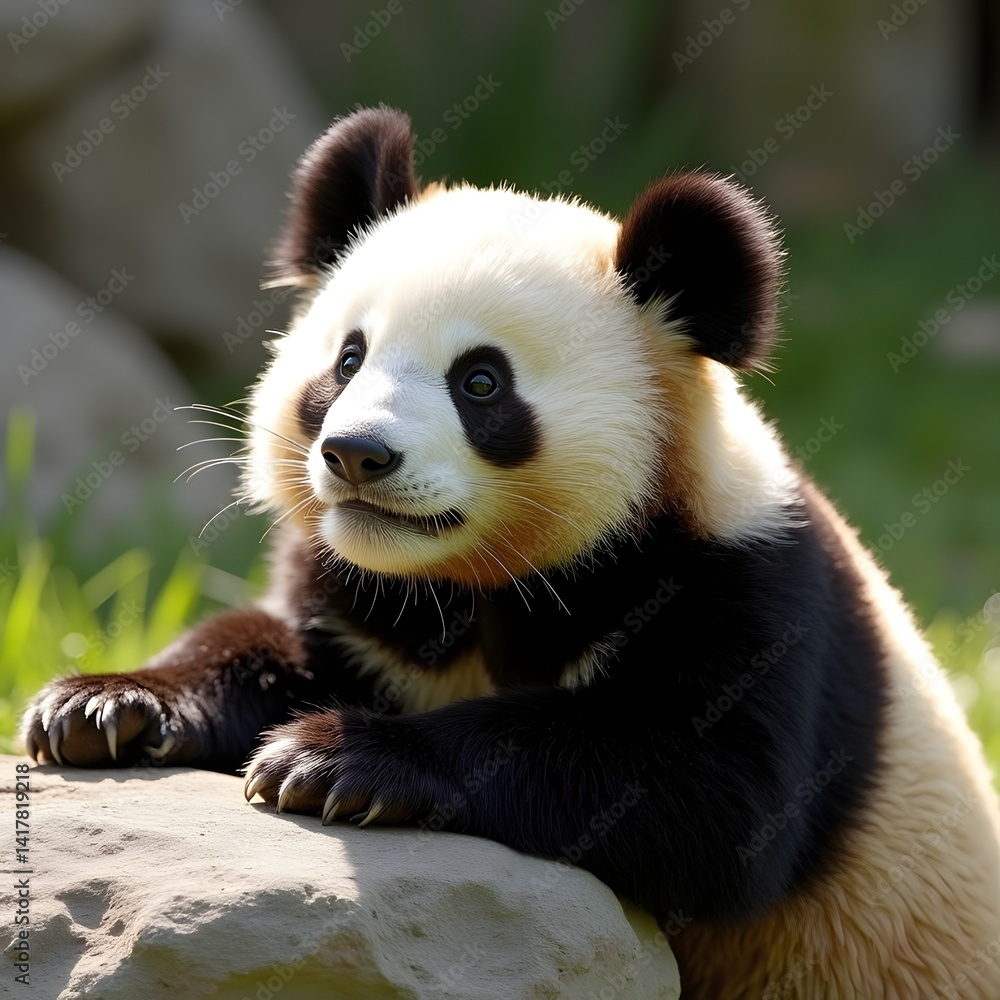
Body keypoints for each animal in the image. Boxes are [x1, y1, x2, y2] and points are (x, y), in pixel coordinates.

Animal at [21, 106, 1000, 997]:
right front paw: (103, 707)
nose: (357, 455)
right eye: (347, 359)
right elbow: (263, 647)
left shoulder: (747, 586)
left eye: (481, 382)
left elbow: (710, 793)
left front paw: (336, 760)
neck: (469, 580)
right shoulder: (354, 594)